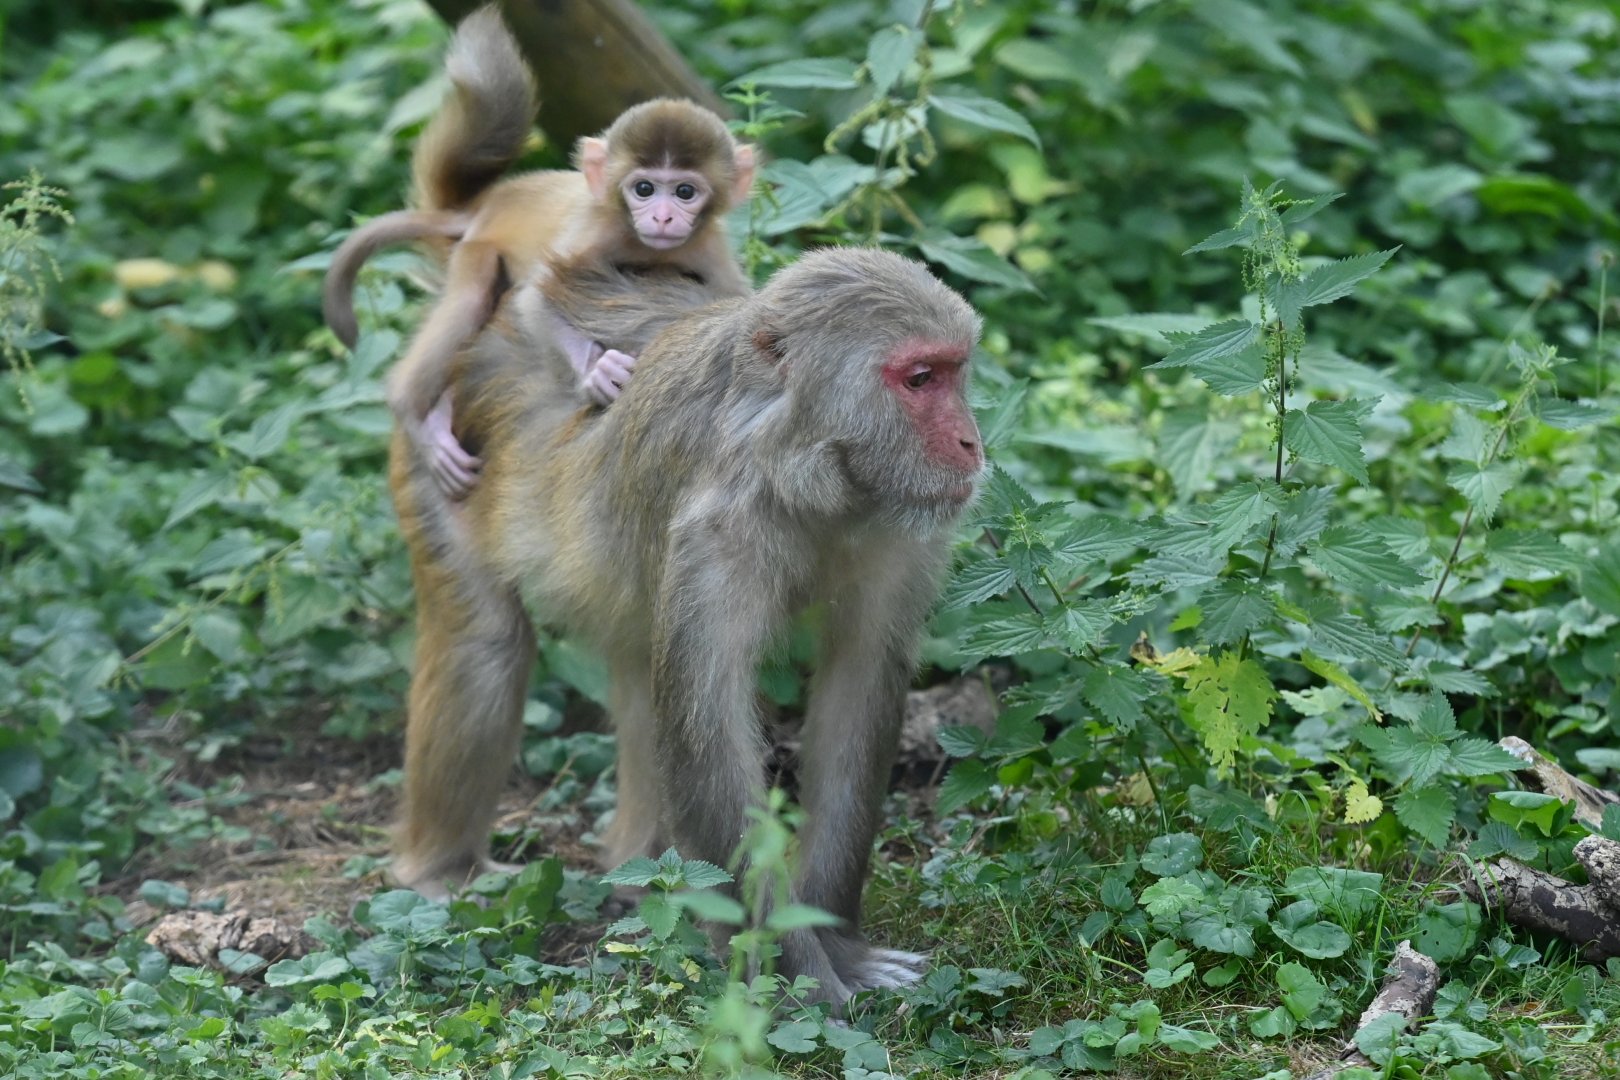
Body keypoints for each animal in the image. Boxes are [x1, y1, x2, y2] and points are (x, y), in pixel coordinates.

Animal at [322, 5, 755, 499]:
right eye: (644, 189)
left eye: (685, 191)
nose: (663, 218)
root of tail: (491, 203)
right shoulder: (596, 231)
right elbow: (535, 300)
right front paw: (594, 373)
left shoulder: (710, 251)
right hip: (478, 249)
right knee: (471, 300)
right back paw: (414, 412)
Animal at [388, 246, 985, 1008]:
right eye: (919, 379)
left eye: (955, 369)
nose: (970, 443)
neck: (805, 468)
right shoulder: (715, 528)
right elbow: (714, 749)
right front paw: (807, 989)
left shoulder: (898, 527)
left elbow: (858, 692)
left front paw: (840, 944)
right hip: (439, 453)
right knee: (486, 646)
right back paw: (442, 870)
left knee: (640, 669)